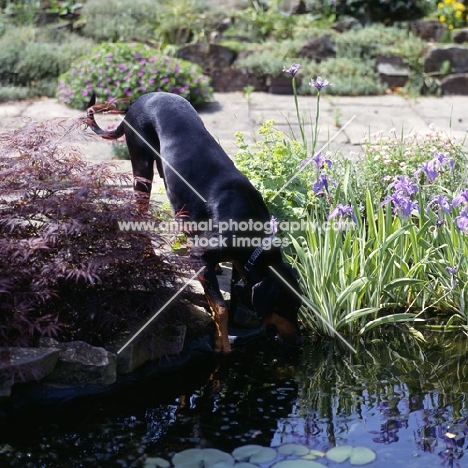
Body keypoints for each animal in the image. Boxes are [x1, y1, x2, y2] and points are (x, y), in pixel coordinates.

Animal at [86, 91, 302, 352]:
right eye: (286, 307)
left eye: (299, 307)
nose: (298, 341)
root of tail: (142, 98)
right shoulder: (201, 255)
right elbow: (220, 306)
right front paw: (222, 344)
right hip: (142, 168)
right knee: (141, 214)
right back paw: (149, 253)